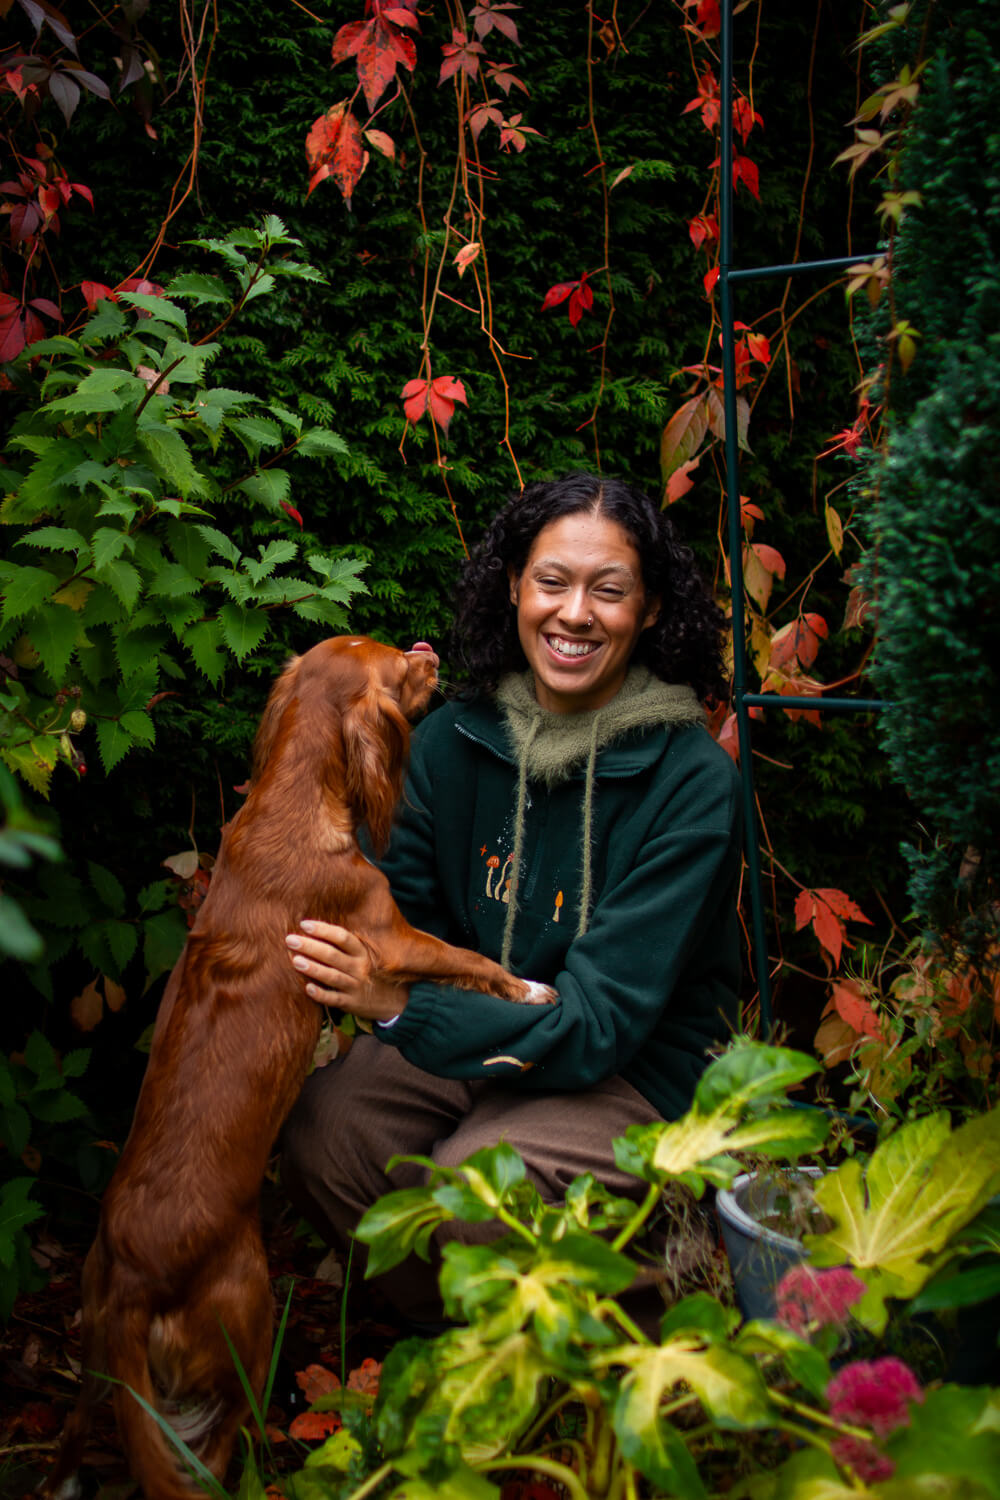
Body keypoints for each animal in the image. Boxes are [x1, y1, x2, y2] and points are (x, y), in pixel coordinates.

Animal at [46, 636, 554, 1500]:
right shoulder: (387, 933)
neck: (287, 801)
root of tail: (133, 1288)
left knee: (82, 1428)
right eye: (402, 668)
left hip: (96, 1351)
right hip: (249, 1319)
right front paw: (529, 988)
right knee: (220, 1440)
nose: (428, 646)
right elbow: (471, 958)